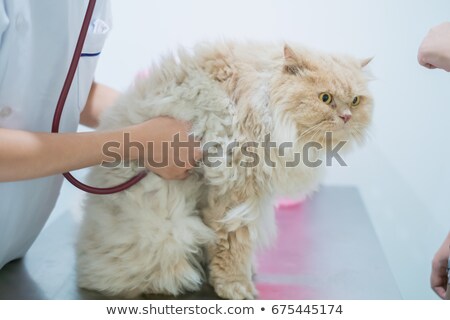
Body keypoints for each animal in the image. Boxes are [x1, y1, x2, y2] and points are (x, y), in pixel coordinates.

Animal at [77, 41, 372, 298]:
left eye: (355, 101)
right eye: (325, 98)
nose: (346, 116)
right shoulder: (234, 194)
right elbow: (232, 246)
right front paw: (235, 287)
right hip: (167, 228)